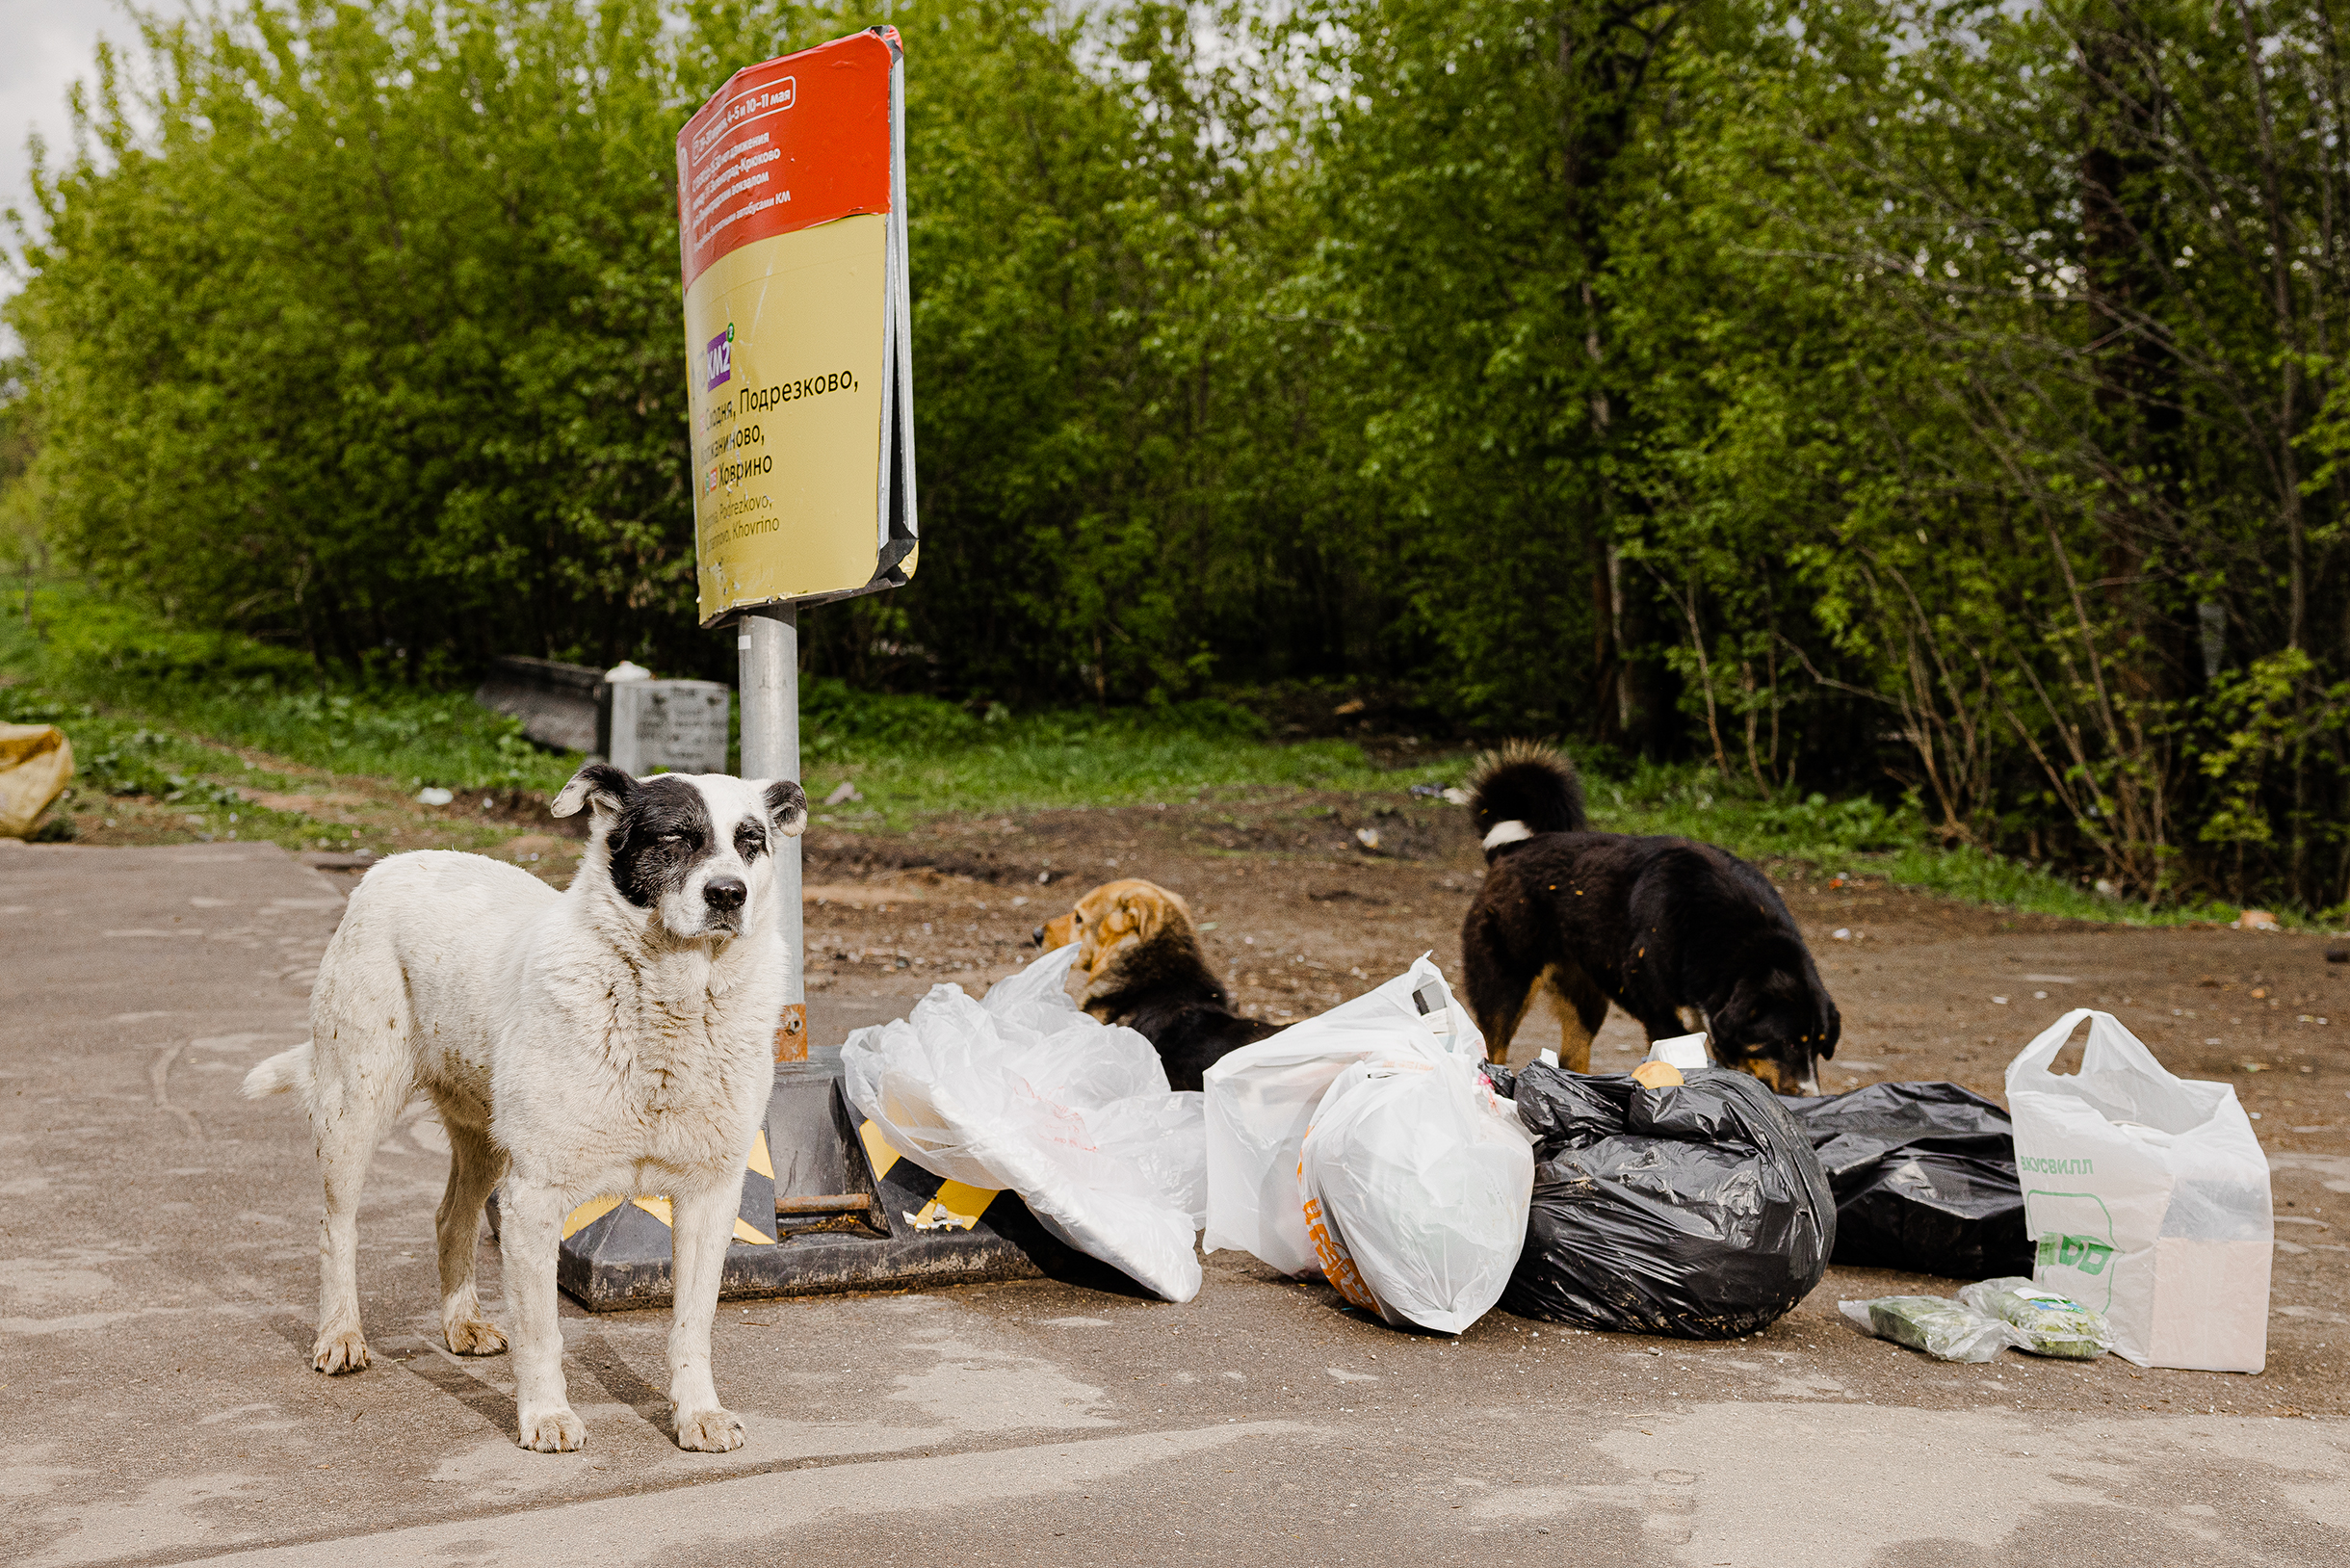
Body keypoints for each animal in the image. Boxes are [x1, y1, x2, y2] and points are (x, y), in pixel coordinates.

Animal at [242, 766, 803, 1457]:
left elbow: (691, 1326)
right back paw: (341, 1336)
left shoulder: (710, 1195)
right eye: (676, 837)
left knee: (450, 1220)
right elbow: (543, 1334)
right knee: (336, 1228)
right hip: (354, 1109)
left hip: (484, 1139)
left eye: (752, 841)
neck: (671, 1002)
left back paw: (461, 1324)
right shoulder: (535, 1197)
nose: (729, 894)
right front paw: (546, 1416)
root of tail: (391, 864)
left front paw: (698, 1414)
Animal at [1456, 747, 1841, 1090]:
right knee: (1494, 1049)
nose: (1810, 1094)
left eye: (1819, 1046)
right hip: (1507, 988)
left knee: (1572, 1058)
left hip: (1587, 999)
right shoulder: (1663, 1017)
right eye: (1788, 1042)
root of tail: (1512, 849)